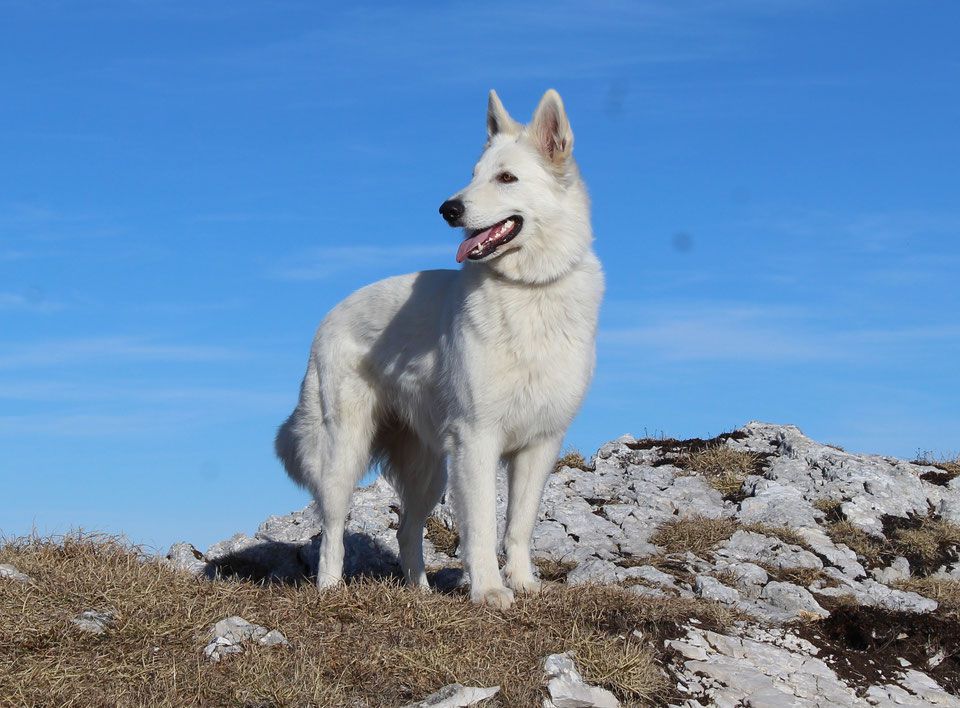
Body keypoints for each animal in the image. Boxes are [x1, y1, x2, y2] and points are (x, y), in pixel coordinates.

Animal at [278, 88, 604, 608]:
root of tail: (329, 315)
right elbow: (483, 526)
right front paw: (489, 590)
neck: (529, 289)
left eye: (506, 177)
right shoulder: (477, 439)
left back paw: (420, 592)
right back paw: (329, 589)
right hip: (344, 452)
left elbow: (519, 525)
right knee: (332, 528)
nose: (447, 209)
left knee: (407, 530)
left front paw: (524, 583)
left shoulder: (540, 444)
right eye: (472, 174)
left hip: (428, 468)